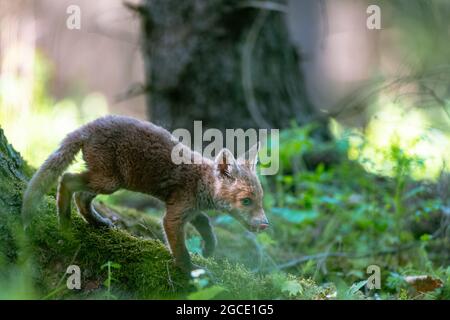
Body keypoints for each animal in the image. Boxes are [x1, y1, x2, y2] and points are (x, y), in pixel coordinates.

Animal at [22, 116, 268, 272]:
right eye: (246, 201)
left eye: (260, 200)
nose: (265, 224)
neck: (200, 182)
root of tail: (88, 126)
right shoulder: (174, 216)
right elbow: (181, 251)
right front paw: (191, 273)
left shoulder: (188, 209)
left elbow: (206, 224)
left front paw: (209, 248)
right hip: (109, 182)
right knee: (66, 179)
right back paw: (64, 222)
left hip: (106, 181)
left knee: (80, 196)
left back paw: (96, 222)